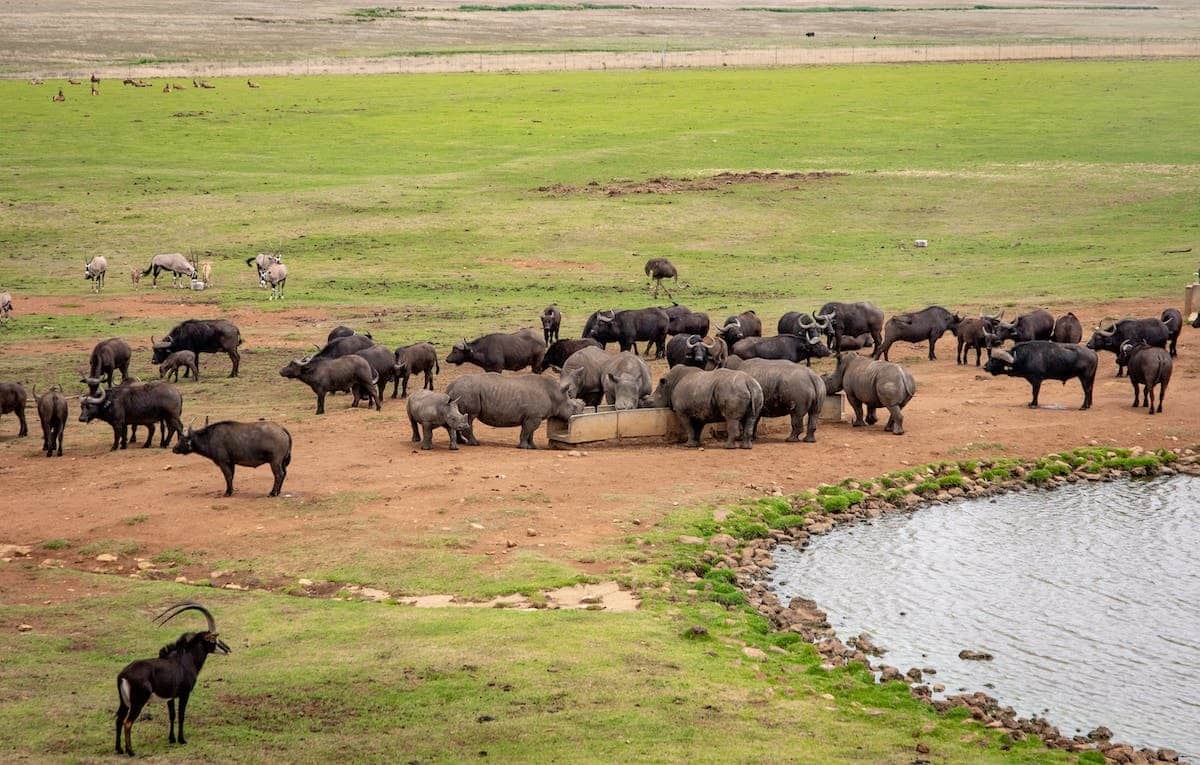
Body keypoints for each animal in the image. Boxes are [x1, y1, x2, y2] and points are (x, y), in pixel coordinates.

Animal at [115, 604, 230, 762]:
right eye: (214, 638)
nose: (228, 649)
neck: (186, 659)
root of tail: (123, 675)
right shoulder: (184, 694)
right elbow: (181, 715)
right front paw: (182, 740)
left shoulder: (170, 697)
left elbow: (172, 715)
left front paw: (171, 739)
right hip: (138, 702)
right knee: (127, 722)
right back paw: (131, 751)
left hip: (124, 702)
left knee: (119, 719)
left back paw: (119, 749)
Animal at [448, 371, 583, 450]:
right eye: (573, 407)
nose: (579, 413)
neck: (556, 395)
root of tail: (451, 386)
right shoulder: (534, 416)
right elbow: (527, 431)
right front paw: (523, 447)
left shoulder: (532, 416)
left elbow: (530, 432)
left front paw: (533, 447)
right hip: (467, 391)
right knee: (470, 416)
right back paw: (475, 443)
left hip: (463, 391)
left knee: (461, 416)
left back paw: (462, 442)